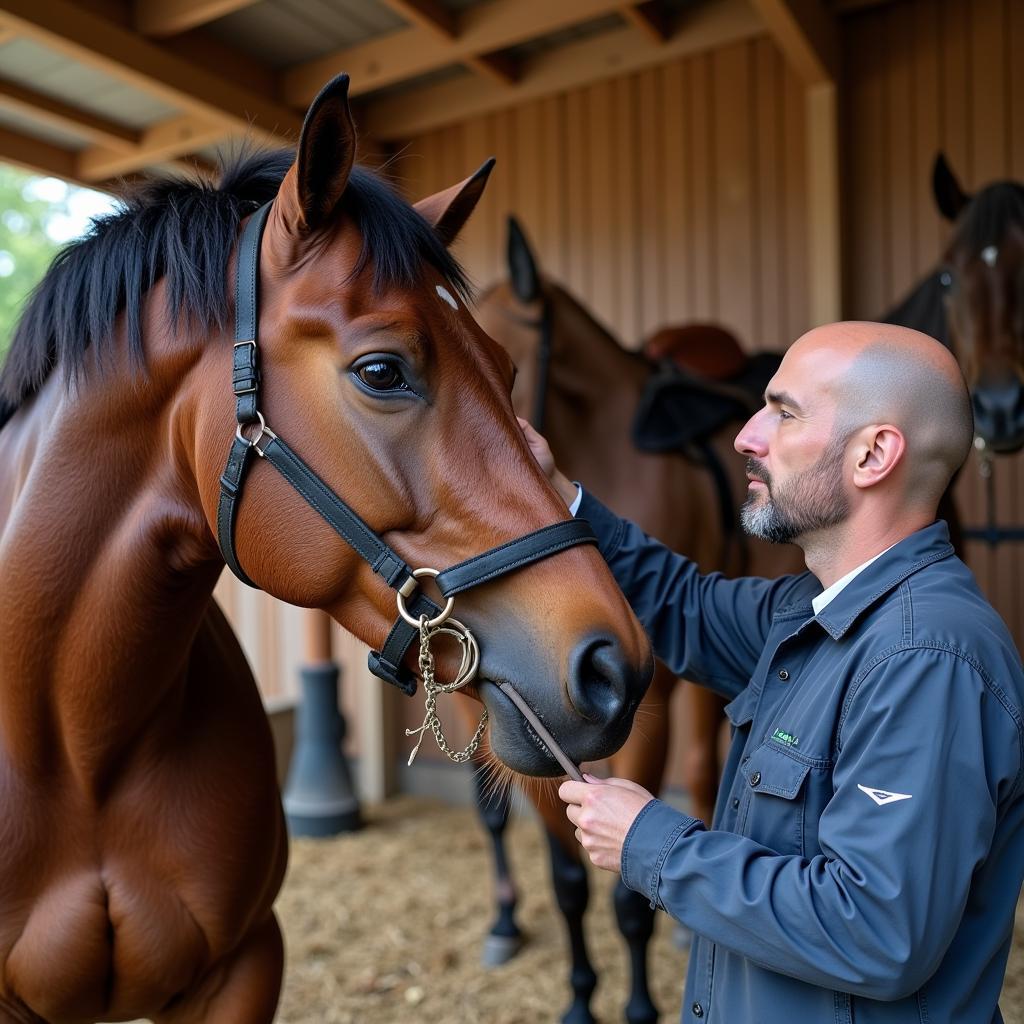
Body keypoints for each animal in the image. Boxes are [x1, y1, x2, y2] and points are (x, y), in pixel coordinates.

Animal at [464, 218, 806, 1024]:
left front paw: (640, 1006)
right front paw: (579, 999)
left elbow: (625, 886)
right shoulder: (534, 729)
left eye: (500, 372)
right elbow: (568, 881)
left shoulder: (641, 712)